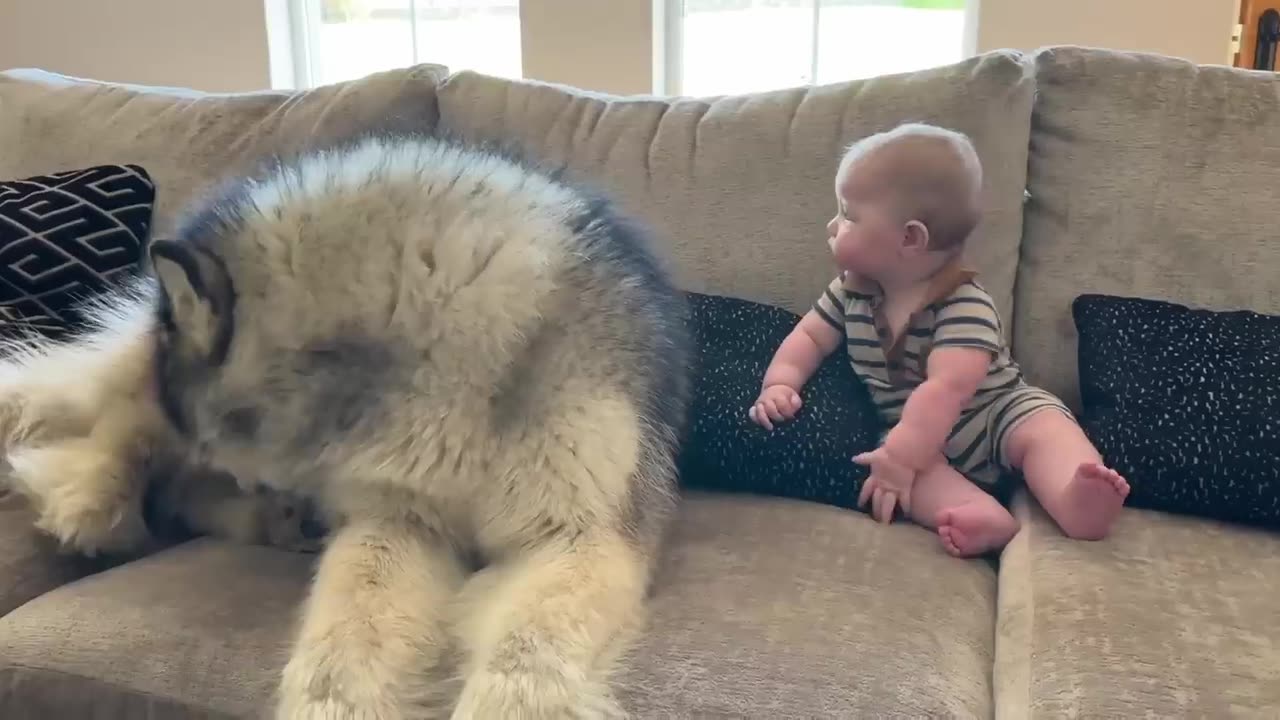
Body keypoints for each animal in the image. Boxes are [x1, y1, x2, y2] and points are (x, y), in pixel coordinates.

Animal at [5, 131, 696, 712]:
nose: (311, 511)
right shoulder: (397, 518)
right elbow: (340, 651)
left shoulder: (582, 537)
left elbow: (525, 659)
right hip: (133, 393)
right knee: (119, 424)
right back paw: (94, 501)